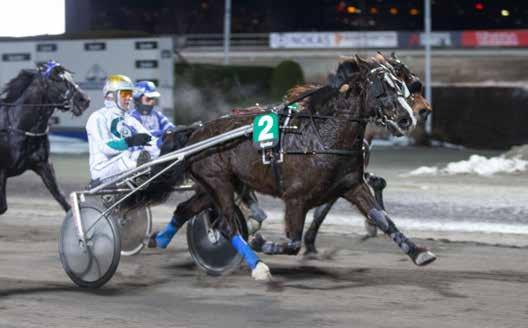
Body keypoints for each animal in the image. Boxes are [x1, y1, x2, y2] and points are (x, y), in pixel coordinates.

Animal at [0, 61, 90, 215]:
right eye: (58, 79)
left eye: (70, 77)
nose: (84, 100)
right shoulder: (1, 172)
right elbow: (2, 207)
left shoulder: (44, 165)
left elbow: (62, 199)